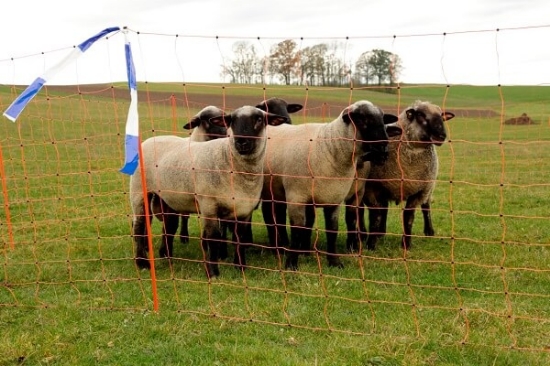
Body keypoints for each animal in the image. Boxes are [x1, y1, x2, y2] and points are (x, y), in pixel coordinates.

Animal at [130, 106, 288, 278]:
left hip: (167, 198)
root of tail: (150, 139)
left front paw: (240, 266)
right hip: (139, 191)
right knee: (139, 226)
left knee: (170, 225)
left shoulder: (244, 209)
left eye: (259, 119)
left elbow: (239, 238)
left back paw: (166, 256)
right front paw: (213, 272)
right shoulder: (208, 205)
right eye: (231, 120)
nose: (241, 141)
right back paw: (142, 263)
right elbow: (213, 238)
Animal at [262, 100, 402, 268]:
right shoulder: (296, 197)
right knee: (271, 218)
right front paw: (291, 264)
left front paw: (334, 261)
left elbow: (332, 230)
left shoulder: (334, 197)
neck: (330, 147)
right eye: (361, 120)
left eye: (382, 119)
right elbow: (297, 229)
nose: (383, 150)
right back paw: (277, 248)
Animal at [362, 100, 458, 252]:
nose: (441, 136)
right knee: (383, 208)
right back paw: (380, 233)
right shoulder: (371, 188)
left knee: (426, 207)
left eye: (442, 117)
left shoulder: (419, 191)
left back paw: (429, 231)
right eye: (421, 115)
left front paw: (406, 244)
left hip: (428, 189)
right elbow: (375, 216)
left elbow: (408, 217)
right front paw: (371, 243)